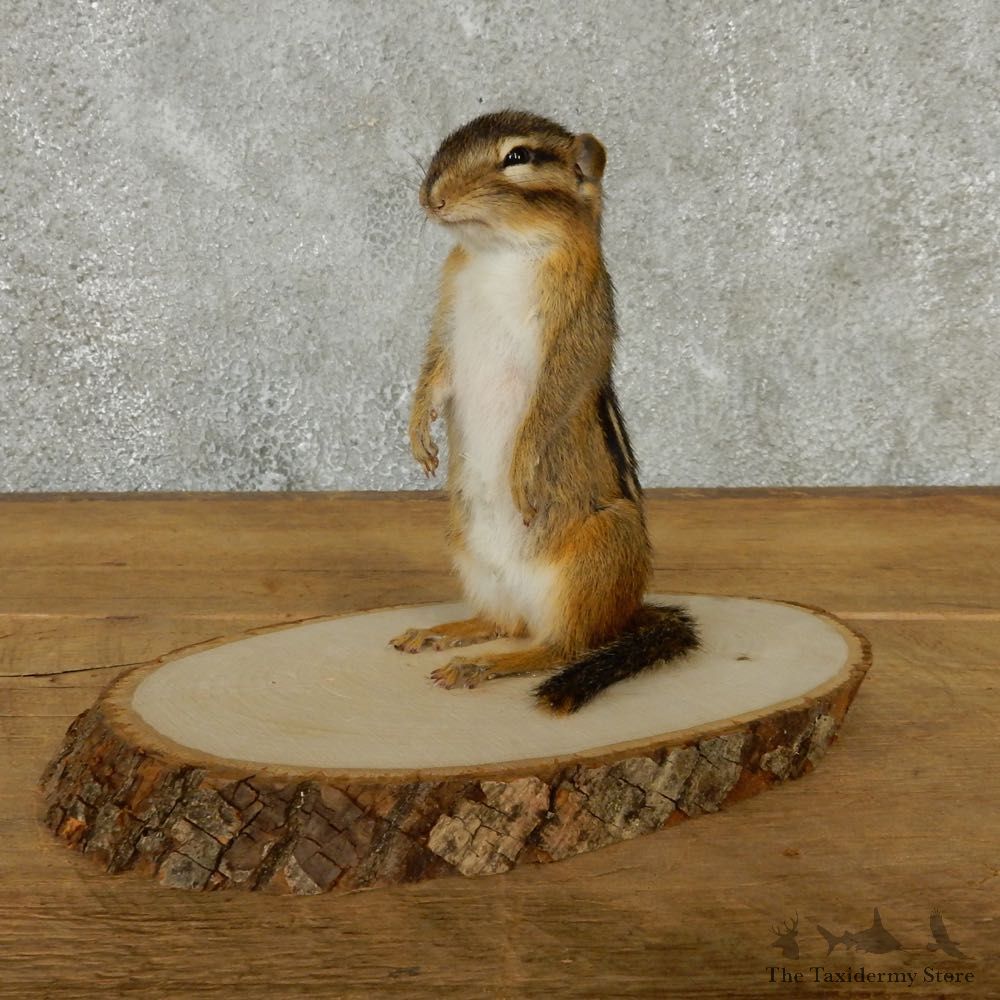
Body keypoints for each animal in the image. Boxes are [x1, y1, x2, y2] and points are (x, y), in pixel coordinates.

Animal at [390, 109, 698, 713]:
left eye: (518, 157)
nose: (432, 198)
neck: (500, 253)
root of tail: (626, 612)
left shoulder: (577, 326)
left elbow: (553, 397)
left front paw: (522, 465)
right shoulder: (446, 313)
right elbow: (434, 371)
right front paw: (418, 432)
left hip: (593, 559)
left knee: (560, 647)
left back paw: (481, 665)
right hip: (468, 554)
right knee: (506, 624)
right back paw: (445, 634)